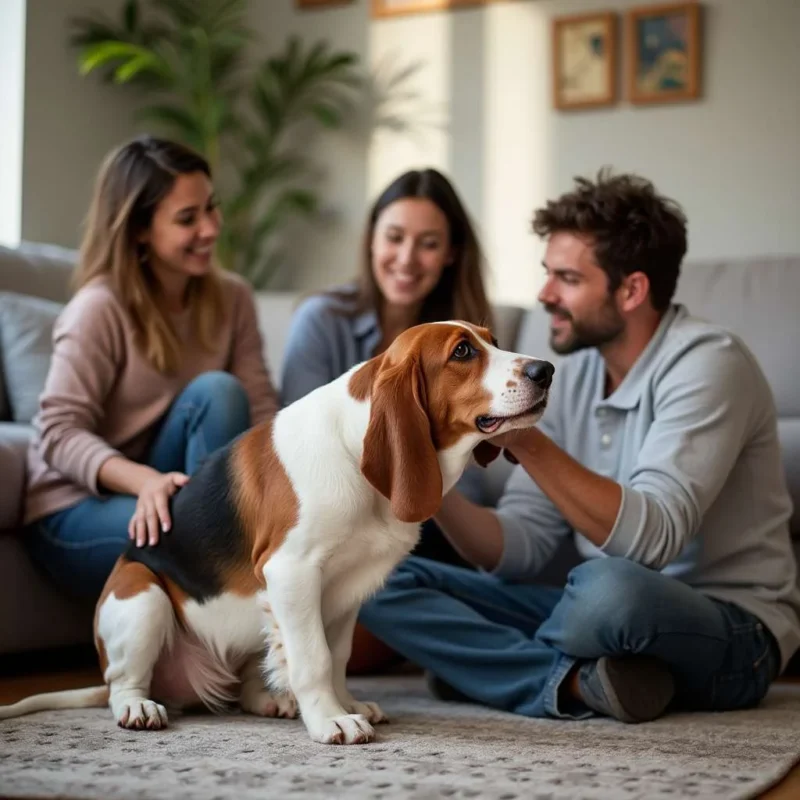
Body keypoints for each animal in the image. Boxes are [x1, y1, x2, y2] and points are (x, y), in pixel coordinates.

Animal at [0, 318, 552, 744]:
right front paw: (330, 720)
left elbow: (337, 656)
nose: (545, 369)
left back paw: (270, 701)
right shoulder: (292, 572)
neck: (353, 450)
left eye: (493, 338)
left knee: (243, 684)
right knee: (123, 682)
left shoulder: (348, 588)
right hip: (142, 596)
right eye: (462, 351)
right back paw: (138, 708)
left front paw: (345, 703)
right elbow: (313, 658)